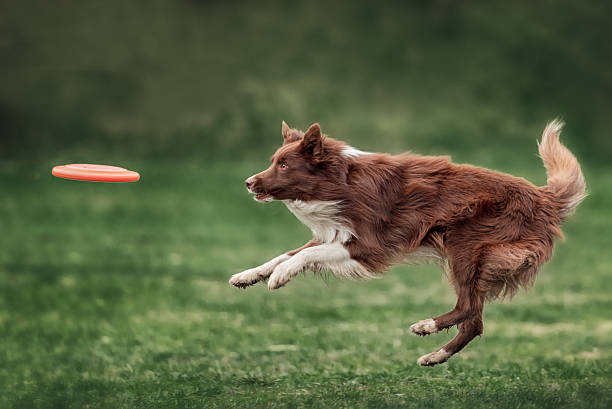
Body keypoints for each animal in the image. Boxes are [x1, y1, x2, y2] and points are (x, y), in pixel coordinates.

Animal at [228, 119, 584, 364]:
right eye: (274, 161)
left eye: (284, 165)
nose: (247, 182)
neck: (341, 182)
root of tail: (544, 197)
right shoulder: (335, 233)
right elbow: (286, 253)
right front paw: (249, 275)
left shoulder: (367, 245)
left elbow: (299, 257)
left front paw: (279, 276)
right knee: (475, 322)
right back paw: (436, 356)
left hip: (465, 245)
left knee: (468, 308)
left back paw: (427, 326)